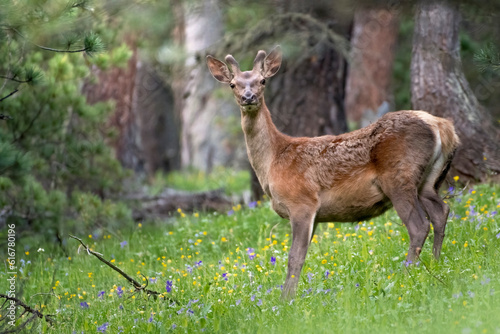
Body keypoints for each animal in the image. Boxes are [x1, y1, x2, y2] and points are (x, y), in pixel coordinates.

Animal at [205, 45, 458, 298]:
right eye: (233, 84)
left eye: (263, 80)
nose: (249, 97)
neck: (273, 161)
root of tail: (442, 126)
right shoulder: (314, 214)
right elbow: (302, 256)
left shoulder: (302, 202)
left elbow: (294, 257)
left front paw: (286, 298)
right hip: (429, 180)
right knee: (441, 212)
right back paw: (435, 264)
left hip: (399, 177)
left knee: (419, 225)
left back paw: (407, 275)